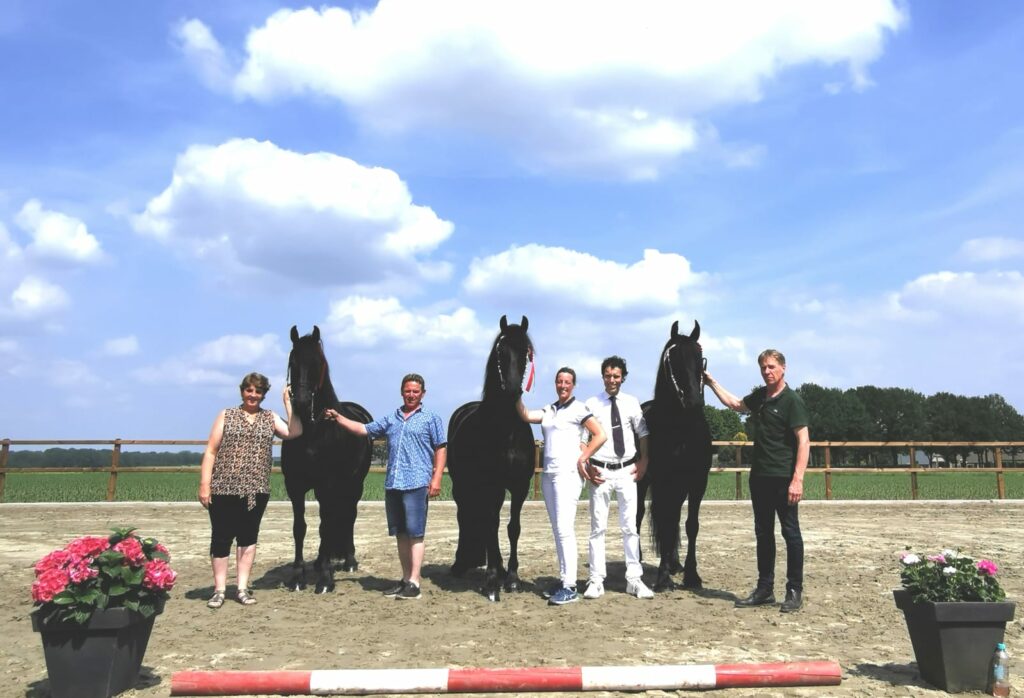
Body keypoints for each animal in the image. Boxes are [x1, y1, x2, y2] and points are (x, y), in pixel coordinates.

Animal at [281, 325, 373, 594]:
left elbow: (325, 525)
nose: (301, 402)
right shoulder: (295, 486)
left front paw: (324, 579)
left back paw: (347, 561)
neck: (313, 431)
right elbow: (299, 528)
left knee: (348, 516)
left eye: (318, 363)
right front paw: (298, 576)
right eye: (293, 361)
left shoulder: (326, 485)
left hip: (354, 484)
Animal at [447, 315, 536, 602]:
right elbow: (491, 525)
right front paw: (492, 582)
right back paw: (462, 564)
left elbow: (512, 527)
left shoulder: (519, 487)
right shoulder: (492, 486)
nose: (512, 391)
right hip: (462, 486)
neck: (506, 430)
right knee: (466, 517)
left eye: (526, 353)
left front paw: (512, 578)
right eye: (500, 351)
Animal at [637, 320, 713, 591]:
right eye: (673, 359)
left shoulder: (697, 482)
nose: (693, 401)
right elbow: (665, 523)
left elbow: (690, 525)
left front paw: (691, 575)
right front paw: (662, 579)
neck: (682, 430)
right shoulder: (663, 482)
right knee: (639, 516)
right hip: (642, 482)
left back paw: (674, 563)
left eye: (700, 357)